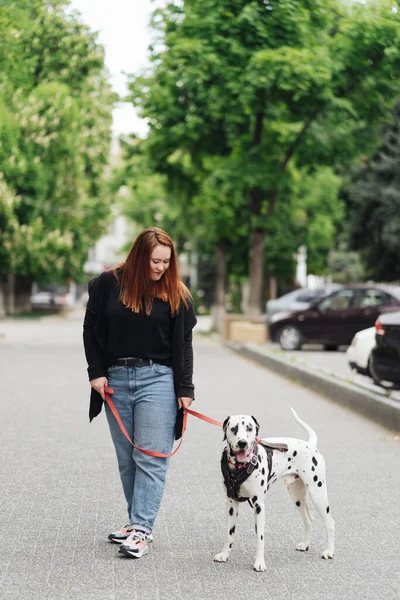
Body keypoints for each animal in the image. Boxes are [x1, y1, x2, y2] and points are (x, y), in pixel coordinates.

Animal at [214, 408, 336, 572]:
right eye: (233, 428)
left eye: (249, 428)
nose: (242, 443)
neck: (240, 466)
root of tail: (310, 445)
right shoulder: (232, 504)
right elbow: (229, 533)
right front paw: (224, 554)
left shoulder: (259, 505)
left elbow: (260, 537)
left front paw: (259, 562)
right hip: (297, 497)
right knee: (308, 521)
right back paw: (305, 545)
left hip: (318, 494)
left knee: (330, 523)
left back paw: (329, 551)